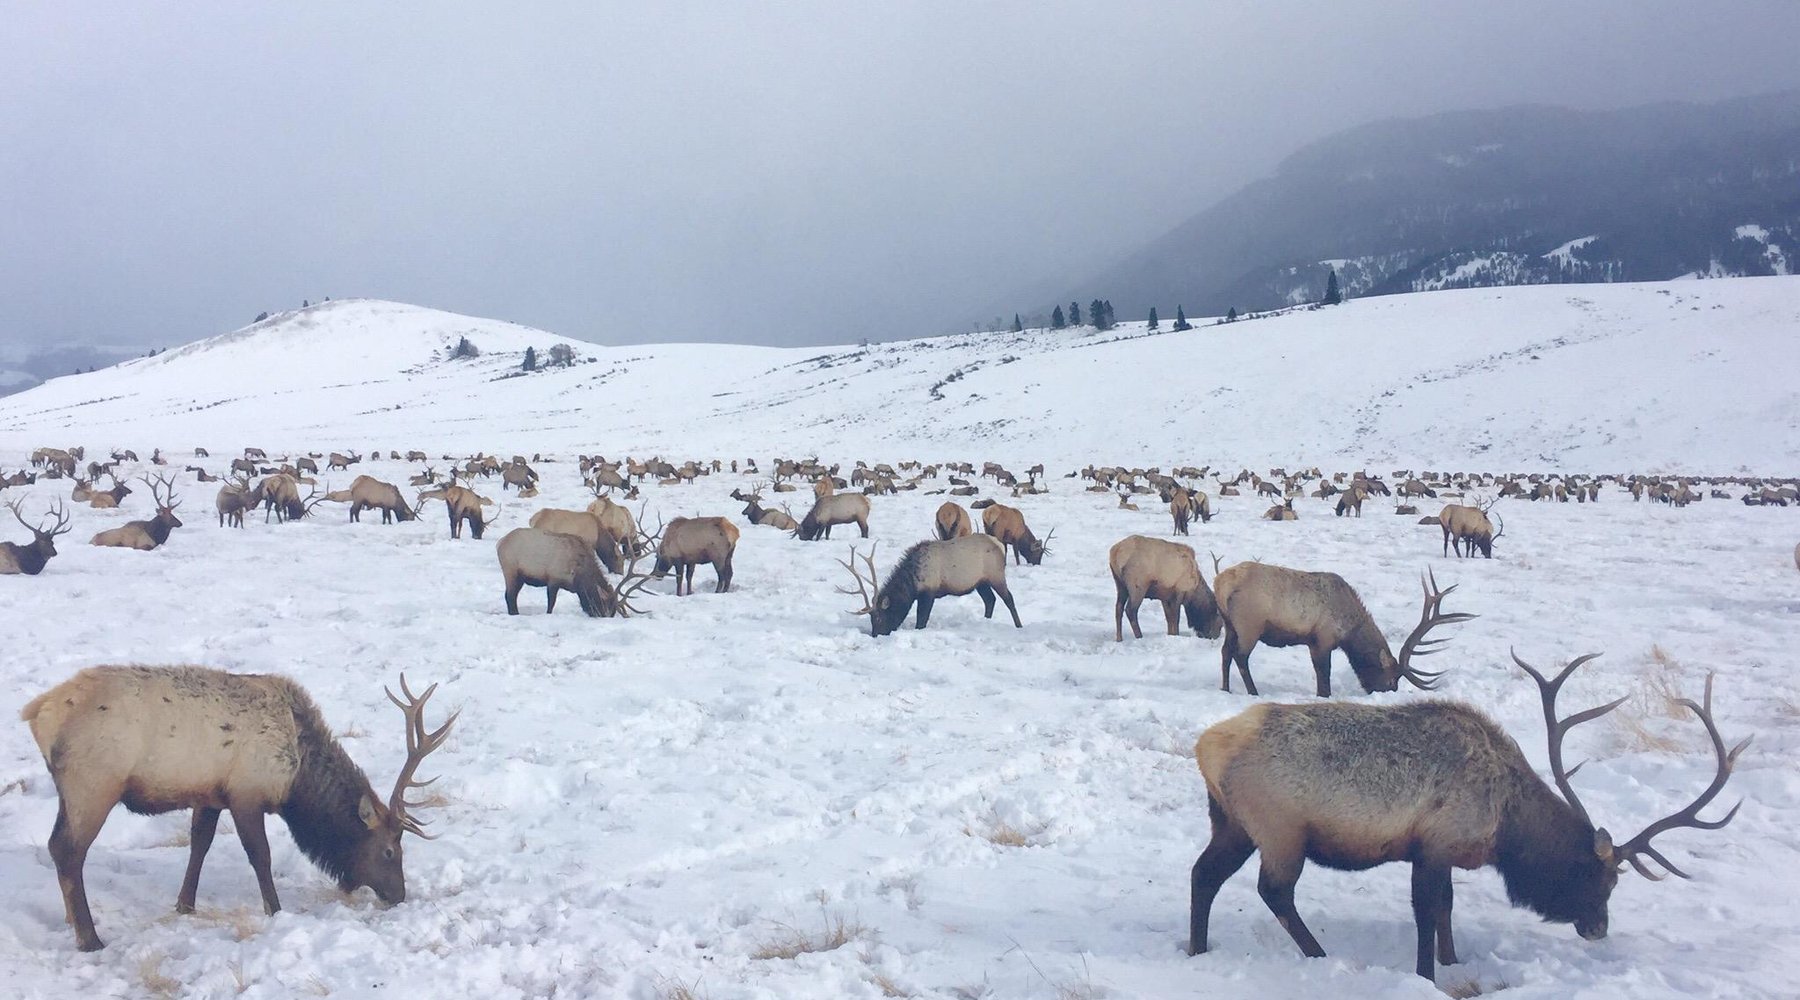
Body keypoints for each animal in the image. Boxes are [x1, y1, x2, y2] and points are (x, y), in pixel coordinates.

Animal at [21, 669, 457, 949]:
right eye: (389, 850)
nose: (399, 894)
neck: (296, 777)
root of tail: (38, 714)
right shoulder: (247, 793)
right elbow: (260, 856)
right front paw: (276, 910)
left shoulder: (210, 795)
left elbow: (199, 844)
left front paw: (185, 904)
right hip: (94, 784)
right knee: (67, 849)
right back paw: (89, 938)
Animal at [835, 539, 1022, 640]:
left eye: (879, 618)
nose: (875, 635)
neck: (911, 582)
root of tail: (999, 544)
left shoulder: (928, 592)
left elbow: (921, 620)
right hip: (981, 582)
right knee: (990, 600)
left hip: (996, 575)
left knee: (1009, 599)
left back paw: (1019, 626)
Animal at [1188, 651, 1749, 978]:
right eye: (1600, 878)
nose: (1597, 930)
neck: (1505, 825)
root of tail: (1206, 746)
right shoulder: (1433, 844)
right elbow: (1426, 911)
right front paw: (1427, 976)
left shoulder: (1443, 850)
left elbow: (1446, 908)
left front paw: (1452, 959)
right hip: (1279, 828)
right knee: (1273, 890)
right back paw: (1320, 956)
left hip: (1233, 824)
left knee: (1203, 873)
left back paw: (1197, 949)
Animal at [1209, 561, 1476, 694]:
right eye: (1392, 679)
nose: (1387, 692)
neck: (1350, 629)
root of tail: (1221, 582)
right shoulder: (1323, 637)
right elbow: (1323, 672)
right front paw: (1324, 695)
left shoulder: (1314, 641)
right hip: (1249, 624)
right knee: (1240, 656)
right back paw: (1253, 691)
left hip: (1230, 625)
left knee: (1225, 653)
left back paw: (1225, 688)